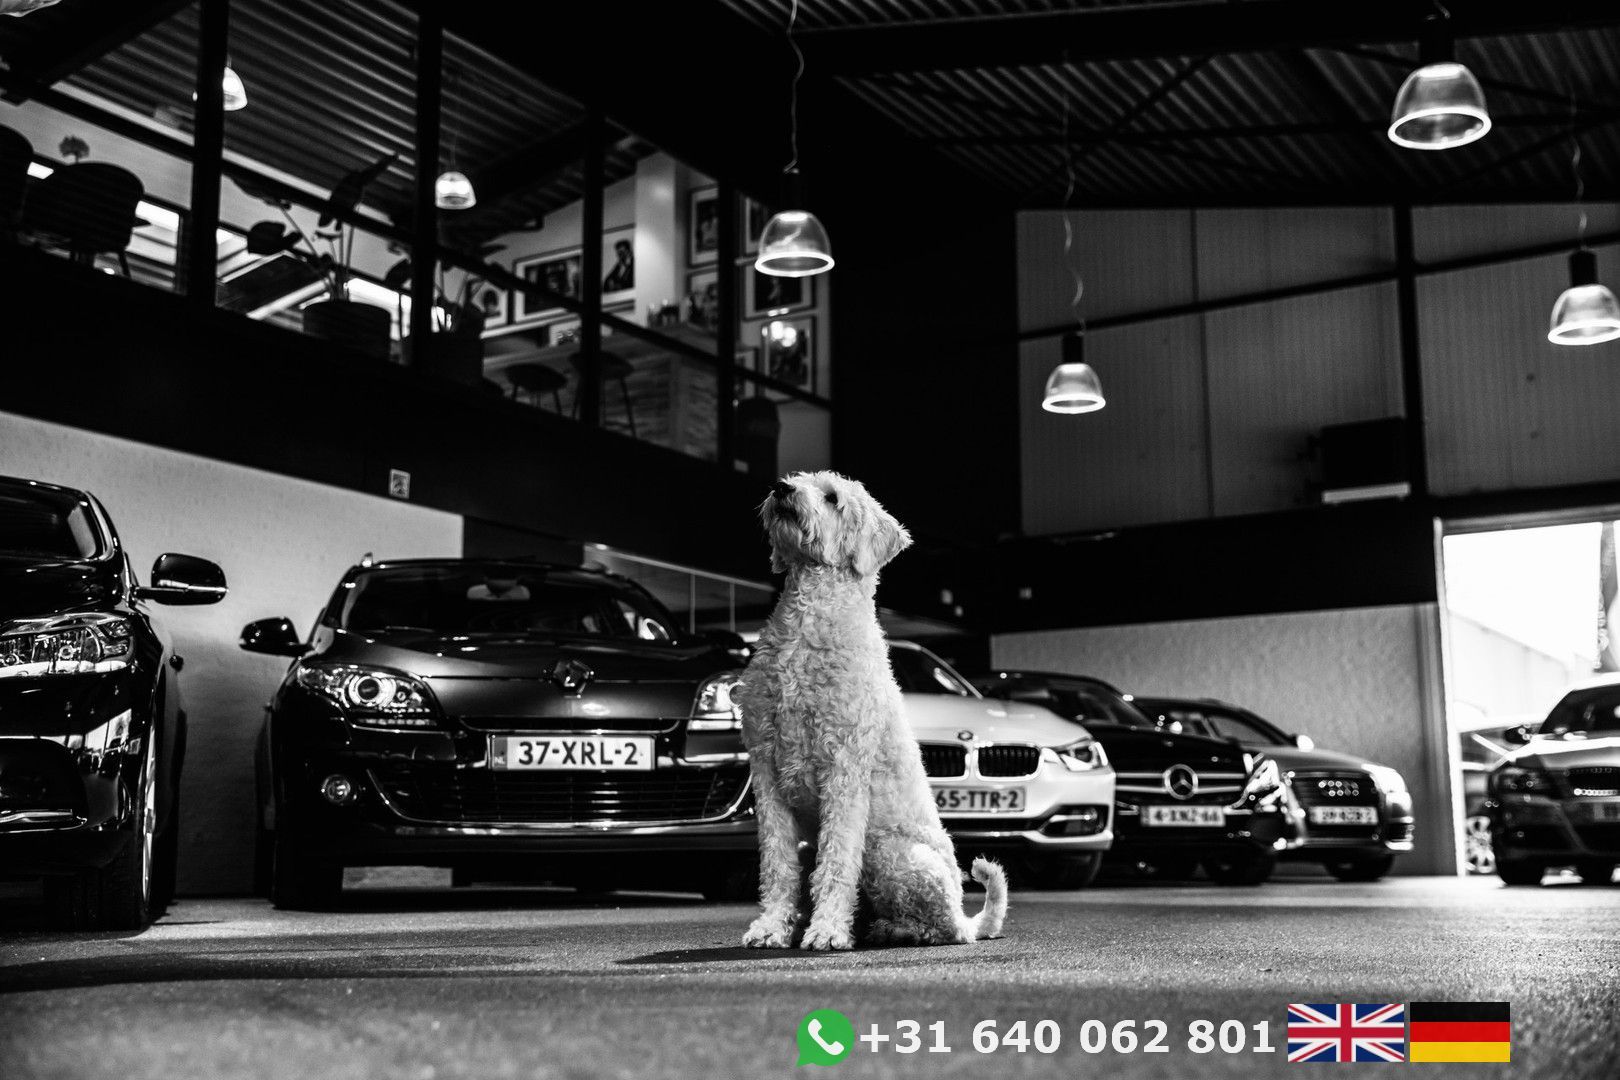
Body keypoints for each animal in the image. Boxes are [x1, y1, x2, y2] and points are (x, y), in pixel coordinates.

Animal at [734, 471, 1008, 951]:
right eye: (799, 479)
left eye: (832, 497)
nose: (782, 487)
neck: (805, 626)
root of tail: (965, 913)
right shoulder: (767, 773)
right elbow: (778, 864)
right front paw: (770, 926)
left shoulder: (843, 771)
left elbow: (837, 862)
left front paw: (826, 930)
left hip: (893, 852)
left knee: (942, 926)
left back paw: (894, 929)